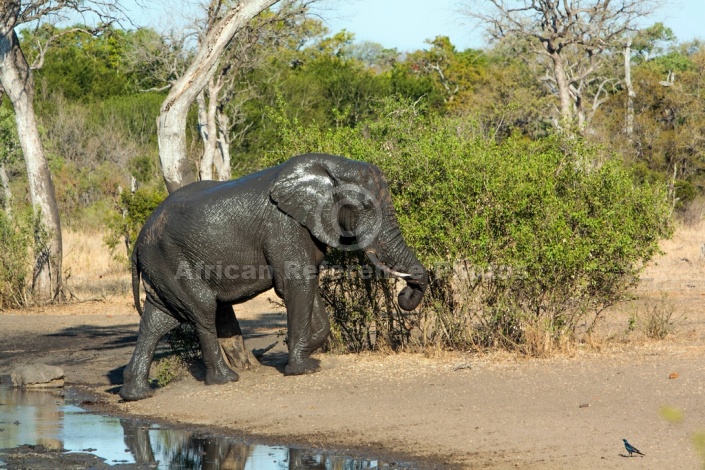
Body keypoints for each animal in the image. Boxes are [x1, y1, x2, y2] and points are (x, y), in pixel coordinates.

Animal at [120, 153, 426, 400]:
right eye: (365, 207)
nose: (405, 293)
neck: (331, 167)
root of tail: (137, 241)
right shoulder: (283, 225)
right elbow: (296, 285)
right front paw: (301, 369)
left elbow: (307, 284)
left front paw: (304, 356)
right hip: (172, 260)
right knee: (203, 309)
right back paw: (225, 380)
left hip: (162, 265)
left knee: (158, 319)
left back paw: (136, 394)